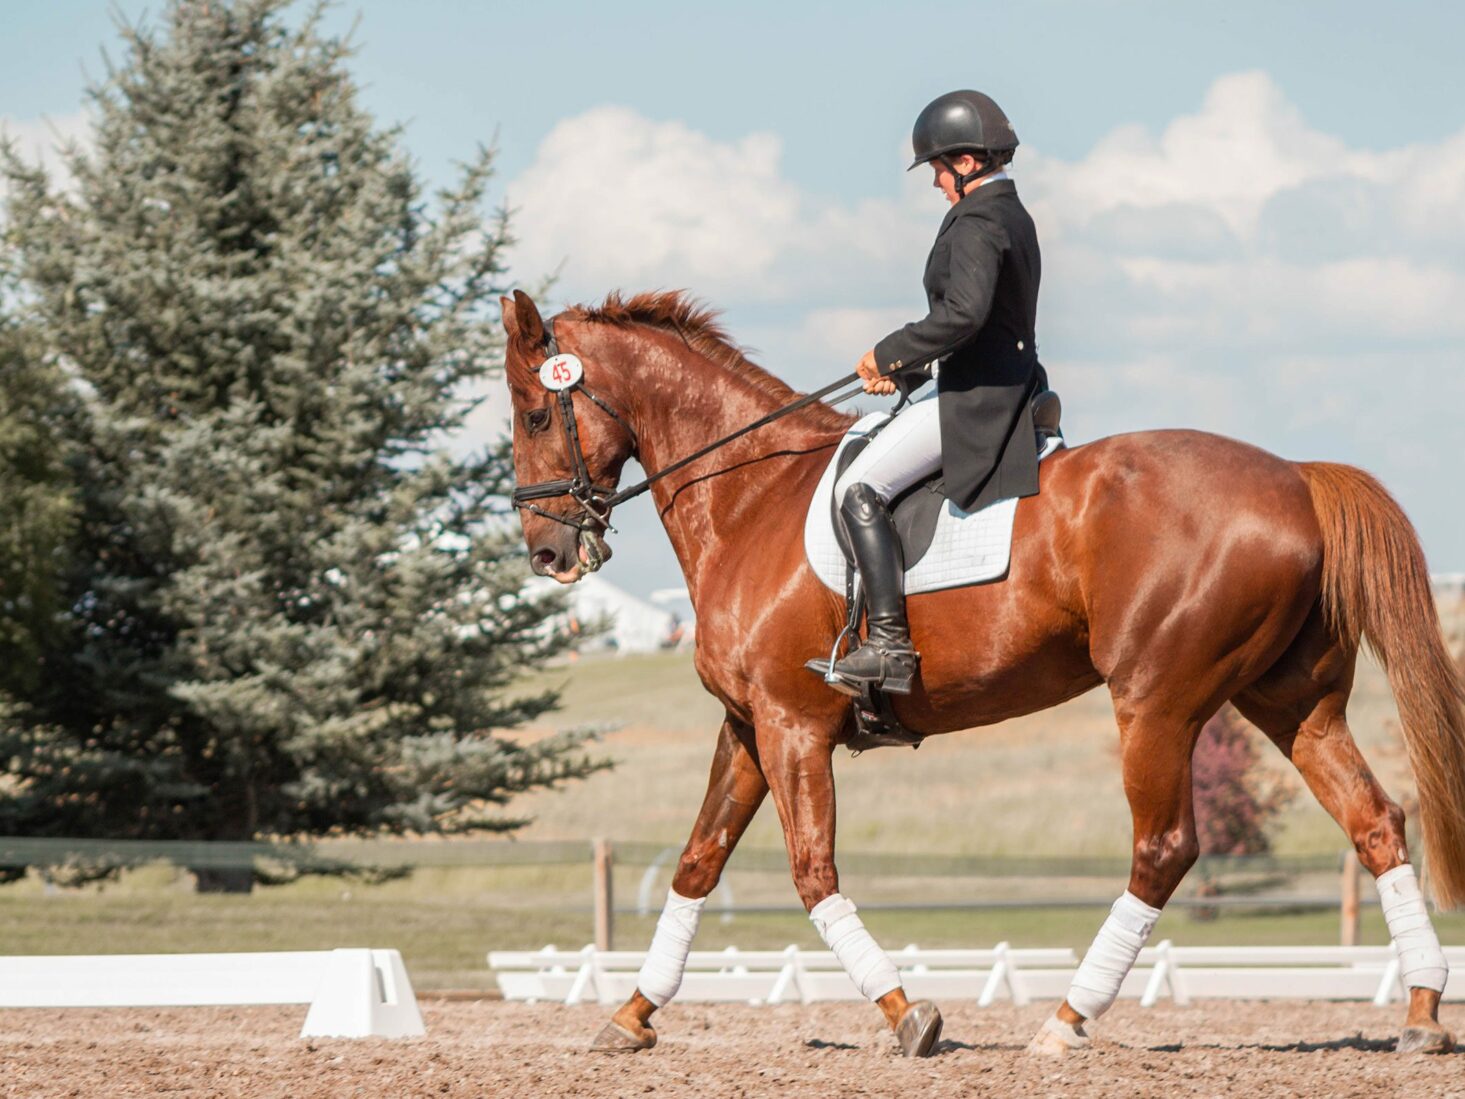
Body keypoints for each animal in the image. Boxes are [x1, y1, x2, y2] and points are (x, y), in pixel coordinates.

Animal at [498, 290, 1459, 1060]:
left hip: (1156, 702)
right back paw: (1418, 1012)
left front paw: (906, 1015)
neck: (749, 497)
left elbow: (812, 871)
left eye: (536, 415)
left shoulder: (792, 725)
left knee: (1162, 848)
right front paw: (630, 1015)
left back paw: (1066, 1021)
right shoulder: (747, 724)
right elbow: (698, 862)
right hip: (1292, 703)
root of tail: (1295, 478)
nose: (545, 553)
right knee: (1374, 821)